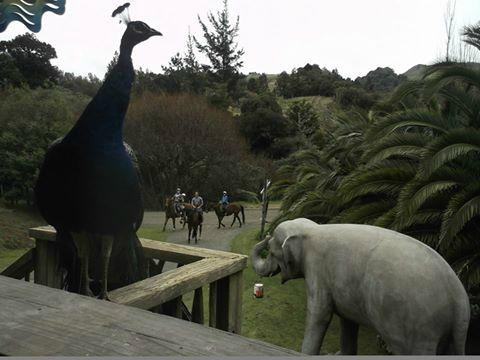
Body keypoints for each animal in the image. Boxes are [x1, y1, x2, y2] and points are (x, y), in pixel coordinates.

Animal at [253, 218, 470, 356]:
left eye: (271, 251)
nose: (265, 236)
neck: (312, 229)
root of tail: (458, 295)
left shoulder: (317, 270)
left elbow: (320, 315)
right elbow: (347, 320)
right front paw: (338, 355)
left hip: (417, 326)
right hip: (453, 331)